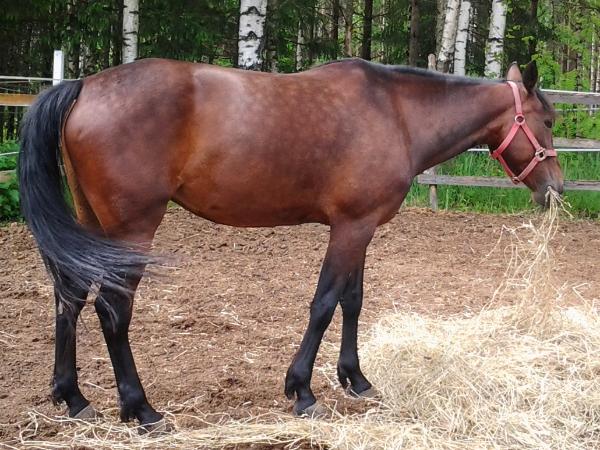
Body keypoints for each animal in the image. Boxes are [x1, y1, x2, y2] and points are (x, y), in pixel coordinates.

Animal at [18, 58, 563, 430]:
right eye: (548, 122)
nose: (556, 187)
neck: (396, 112)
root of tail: (84, 86)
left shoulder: (360, 227)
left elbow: (352, 300)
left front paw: (356, 379)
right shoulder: (351, 228)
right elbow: (324, 303)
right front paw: (301, 390)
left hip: (90, 225)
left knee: (69, 298)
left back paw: (73, 398)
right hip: (131, 230)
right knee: (112, 310)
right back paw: (140, 408)